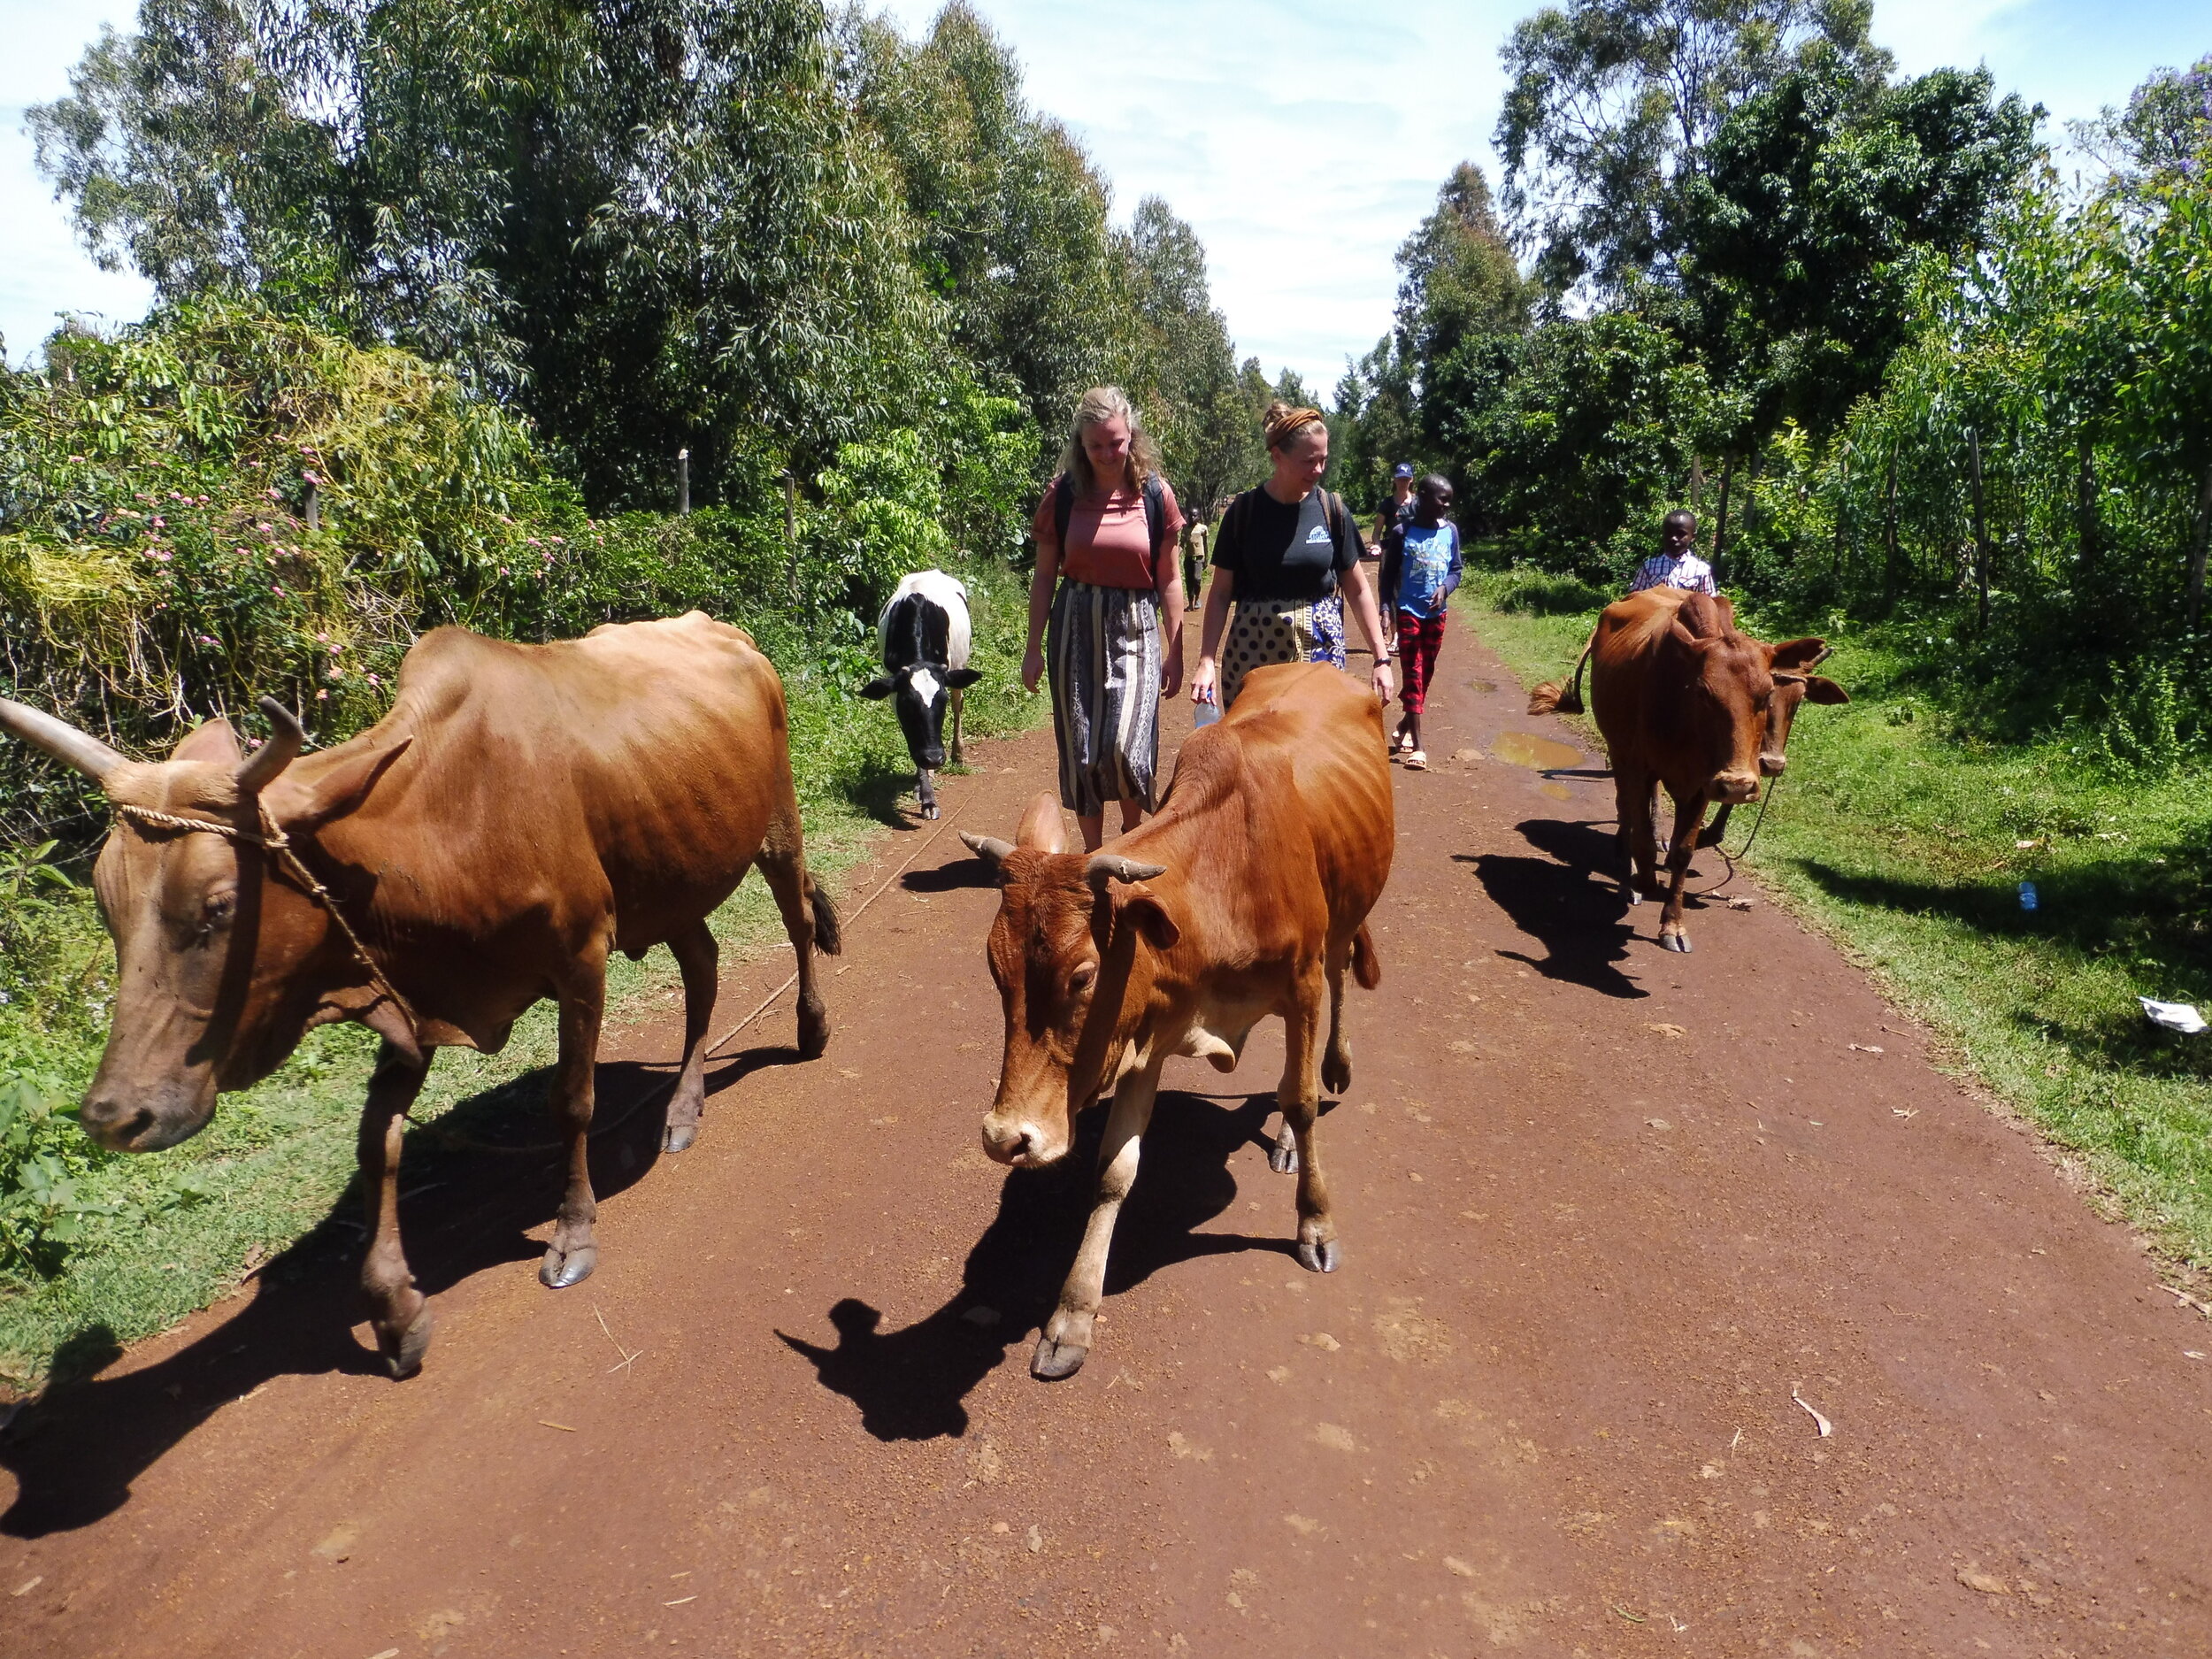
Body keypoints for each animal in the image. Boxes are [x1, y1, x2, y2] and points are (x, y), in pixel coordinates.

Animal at [863, 571, 978, 827]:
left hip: (960, 665)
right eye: (909, 705)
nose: (934, 758)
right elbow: (911, 739)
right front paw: (926, 794)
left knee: (959, 704)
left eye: (941, 702)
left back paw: (958, 754)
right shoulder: (895, 693)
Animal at [1531, 588, 1840, 947]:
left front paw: (1673, 924)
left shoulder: (1704, 785)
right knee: (1626, 810)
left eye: (1766, 695)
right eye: (1703, 692)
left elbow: (1683, 850)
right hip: (1618, 751)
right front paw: (1639, 881)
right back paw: (1627, 866)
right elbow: (1641, 837)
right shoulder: (1639, 766)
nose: (1767, 766)